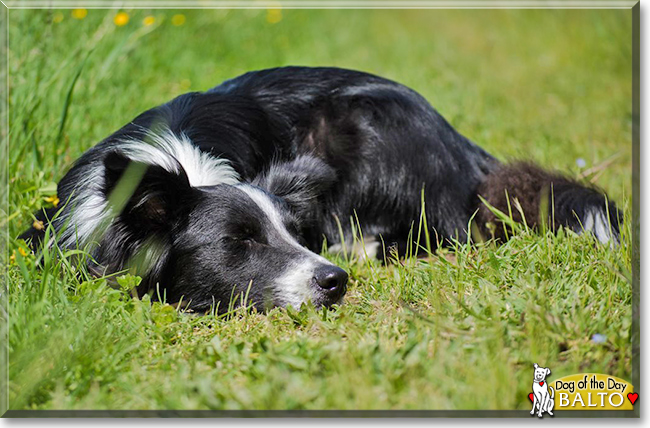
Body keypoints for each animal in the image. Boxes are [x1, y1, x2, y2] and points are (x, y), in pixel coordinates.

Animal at [19, 67, 616, 314]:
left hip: (367, 124)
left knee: (450, 233)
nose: (335, 282)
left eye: (295, 233)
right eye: (240, 241)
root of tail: (465, 149)